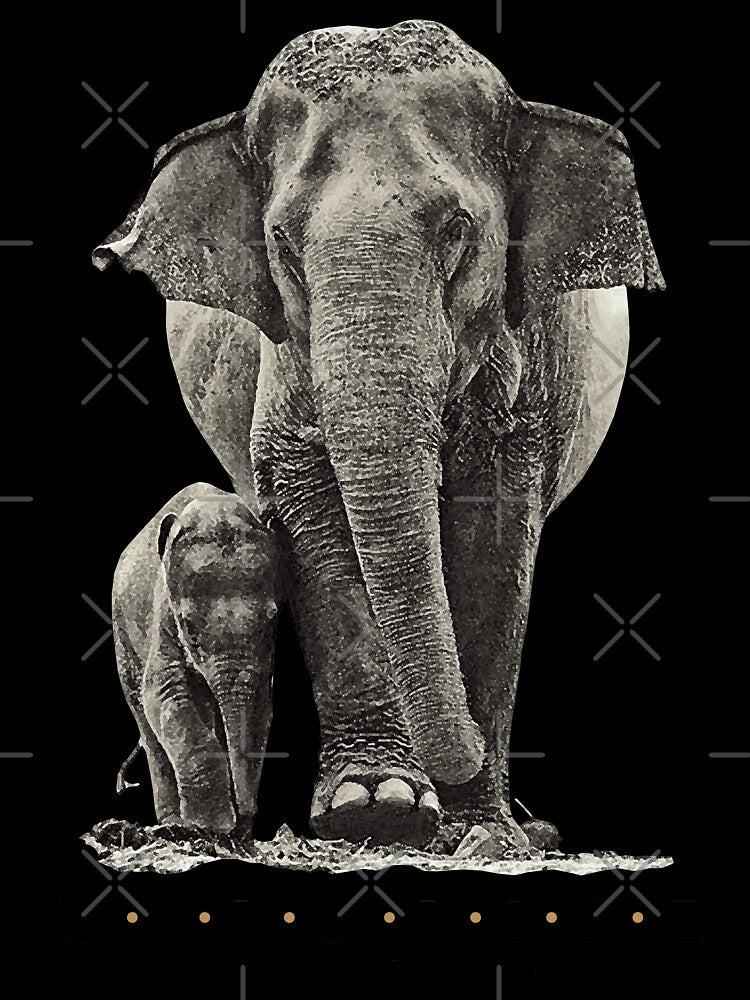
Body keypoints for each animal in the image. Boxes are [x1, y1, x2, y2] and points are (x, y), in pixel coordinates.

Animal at [94, 20, 663, 855]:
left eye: (459, 230)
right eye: (280, 243)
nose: (461, 757)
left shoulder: (536, 352)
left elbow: (496, 526)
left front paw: (475, 828)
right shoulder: (283, 355)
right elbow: (307, 499)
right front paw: (378, 807)